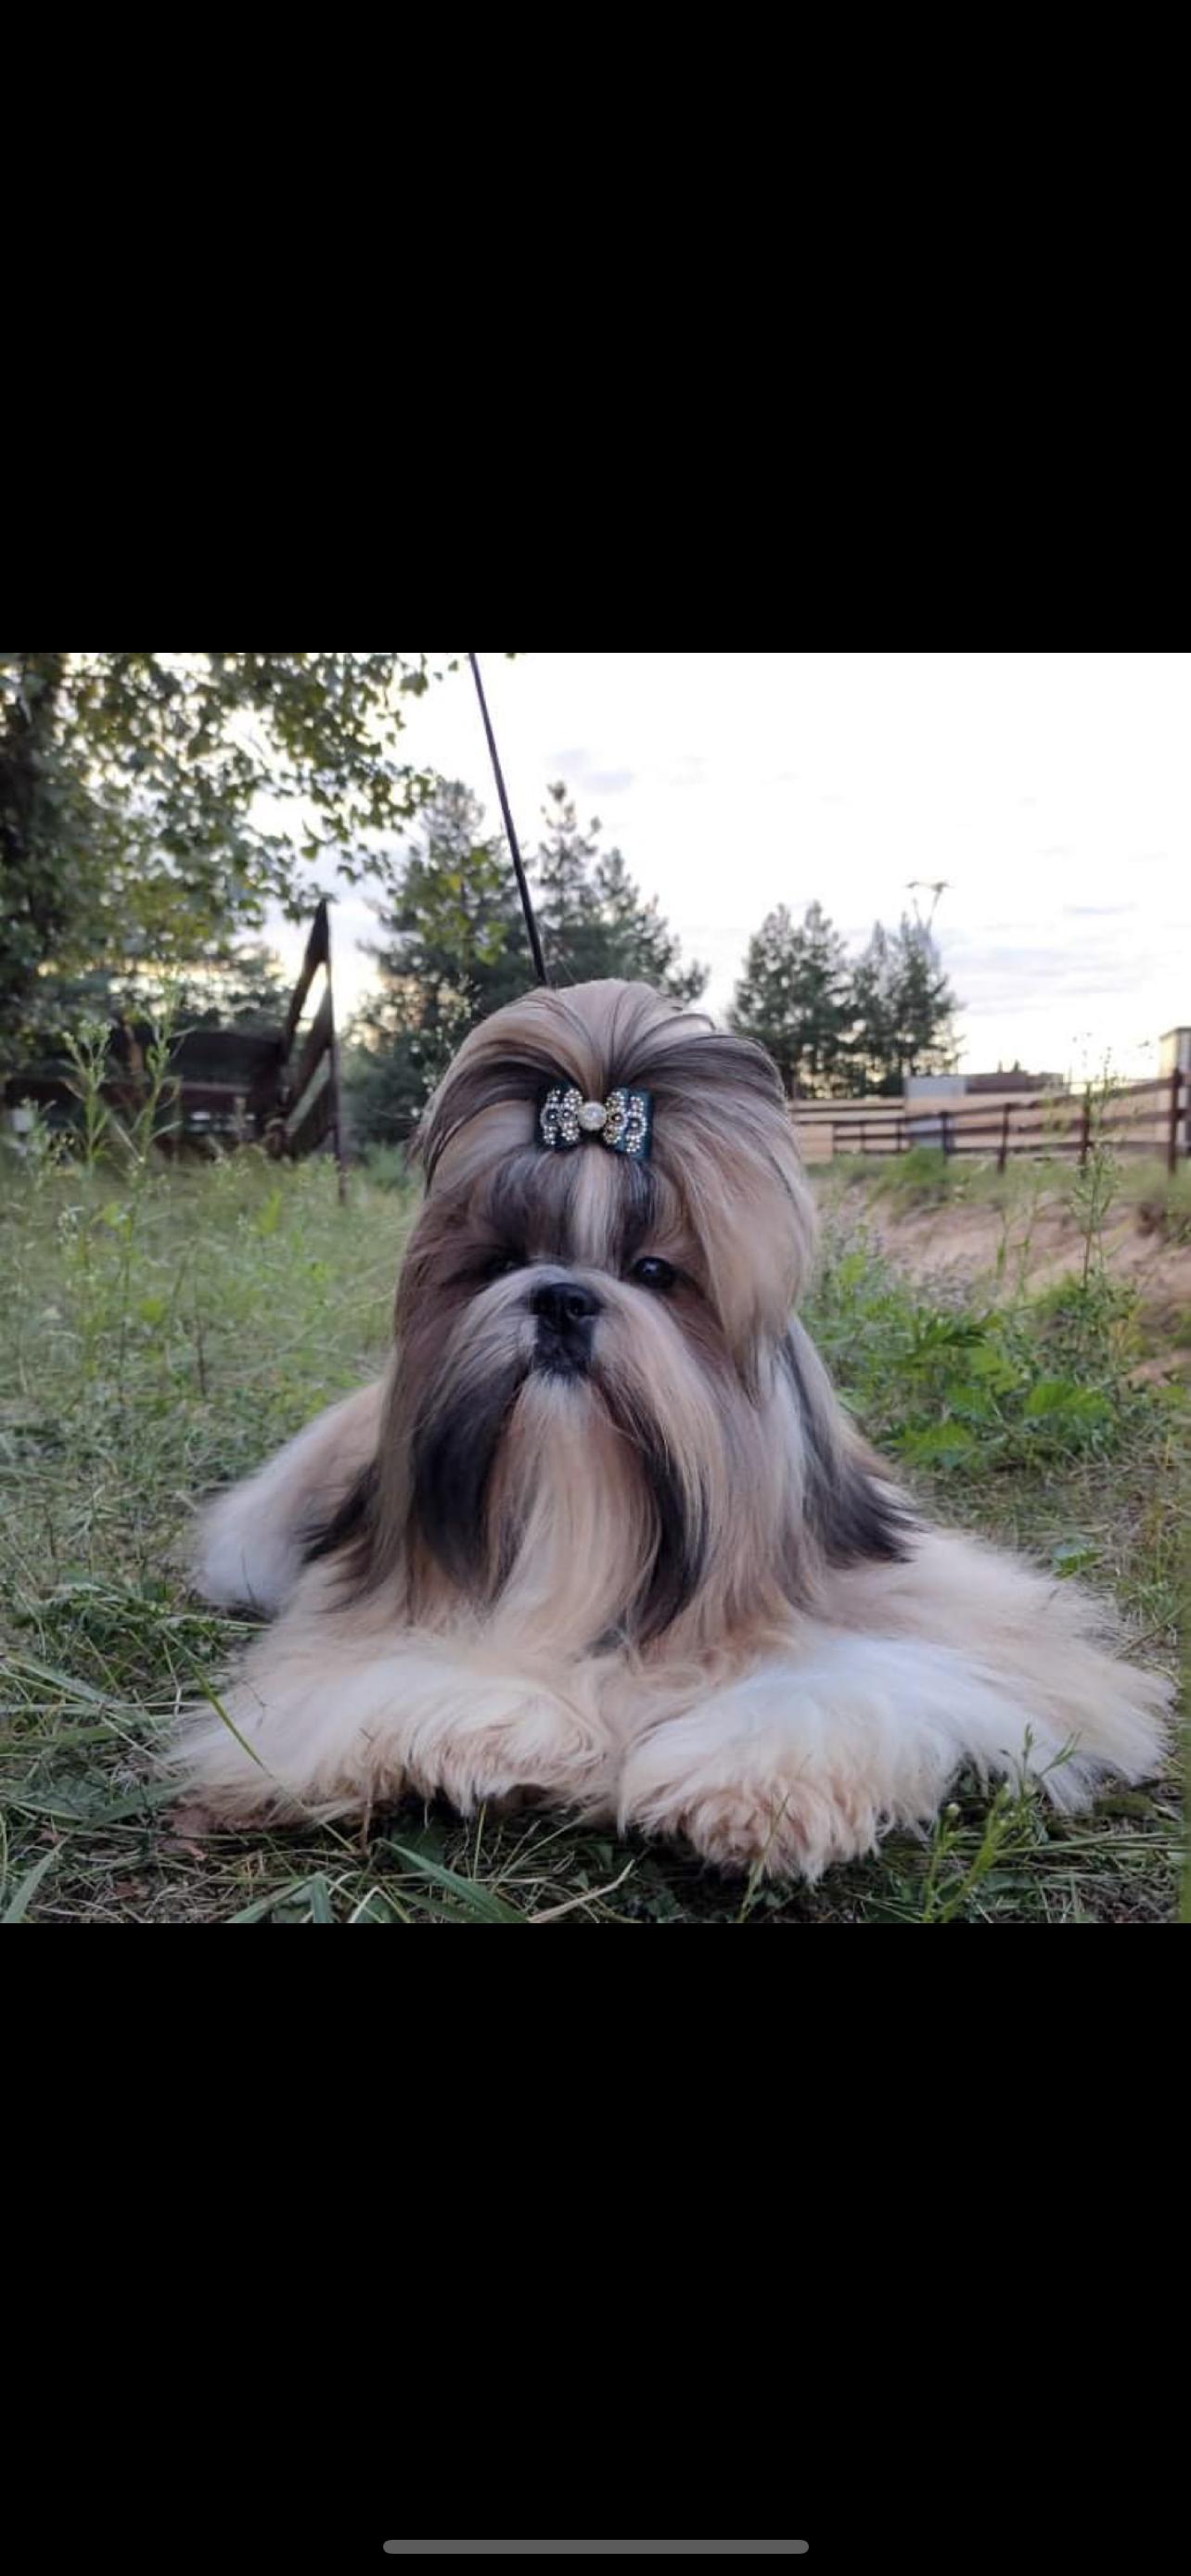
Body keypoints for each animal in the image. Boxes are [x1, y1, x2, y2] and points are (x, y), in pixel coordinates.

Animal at [176, 979, 1171, 1878]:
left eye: (655, 1271)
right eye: (498, 1262)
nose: (561, 1297)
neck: (589, 1523)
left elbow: (839, 1682)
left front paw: (754, 1786)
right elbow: (397, 1680)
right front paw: (498, 1735)